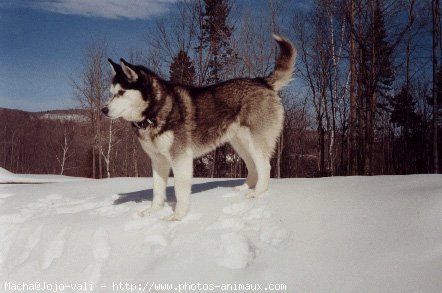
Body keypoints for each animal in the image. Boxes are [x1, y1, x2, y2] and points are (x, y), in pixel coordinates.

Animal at [102, 34, 296, 219]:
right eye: (111, 94)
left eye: (121, 92)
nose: (103, 110)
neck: (154, 112)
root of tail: (262, 81)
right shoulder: (158, 160)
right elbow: (157, 191)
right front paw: (153, 211)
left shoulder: (181, 158)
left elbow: (180, 191)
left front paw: (177, 216)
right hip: (240, 144)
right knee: (254, 167)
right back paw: (244, 189)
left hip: (254, 141)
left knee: (265, 167)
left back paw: (257, 193)